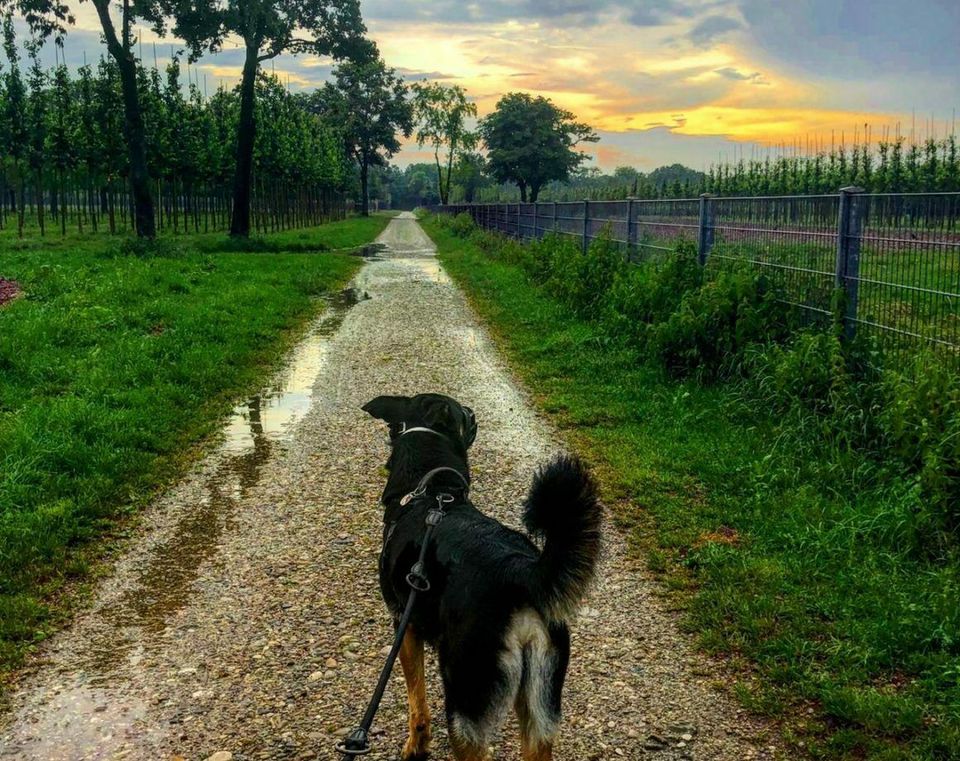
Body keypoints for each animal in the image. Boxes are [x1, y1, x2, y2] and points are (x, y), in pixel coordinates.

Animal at [362, 394, 600, 756]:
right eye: (464, 415)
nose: (473, 413)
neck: (430, 492)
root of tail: (518, 572)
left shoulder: (405, 626)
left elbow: (417, 703)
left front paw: (416, 746)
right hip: (540, 706)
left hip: (465, 698)